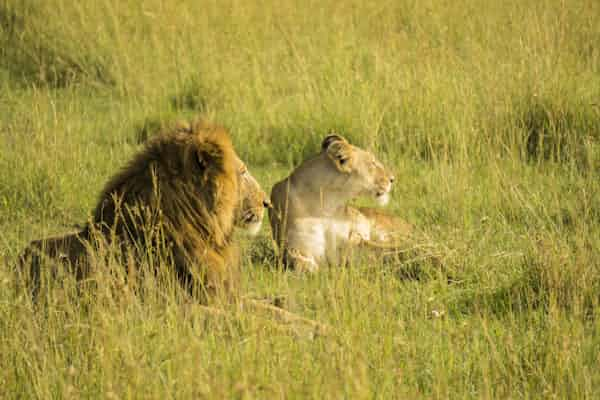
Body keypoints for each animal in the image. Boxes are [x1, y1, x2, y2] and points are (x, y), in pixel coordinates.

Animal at [270, 134, 396, 272]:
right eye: (373, 163)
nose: (393, 179)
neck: (326, 205)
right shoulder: (294, 248)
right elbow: (302, 264)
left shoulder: (351, 243)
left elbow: (384, 249)